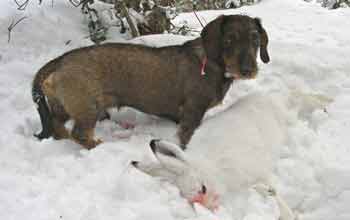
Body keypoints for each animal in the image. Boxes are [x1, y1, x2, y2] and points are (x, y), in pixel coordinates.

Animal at [31, 14, 270, 150]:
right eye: (229, 39)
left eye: (255, 39)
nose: (248, 70)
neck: (212, 63)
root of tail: (58, 62)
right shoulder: (193, 111)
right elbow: (186, 137)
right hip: (88, 108)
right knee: (79, 134)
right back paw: (97, 146)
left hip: (64, 107)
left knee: (58, 126)